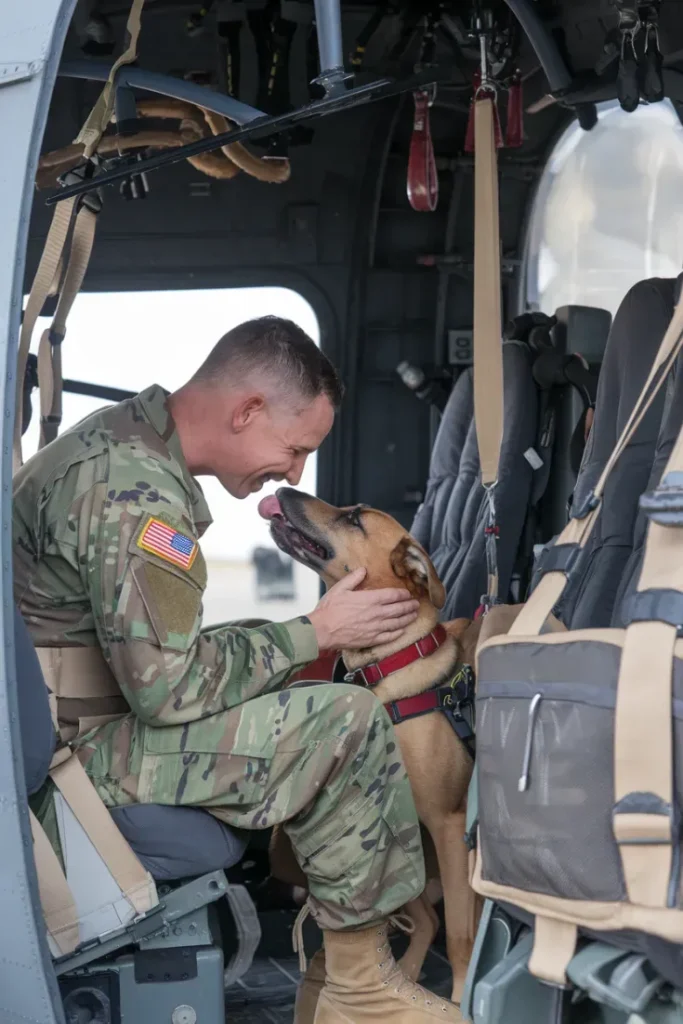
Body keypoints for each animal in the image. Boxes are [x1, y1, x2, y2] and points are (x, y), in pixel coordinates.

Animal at [255, 487, 485, 999]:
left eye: (356, 519)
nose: (281, 491)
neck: (388, 669)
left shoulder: (448, 826)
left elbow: (460, 936)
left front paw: (461, 997)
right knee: (423, 919)